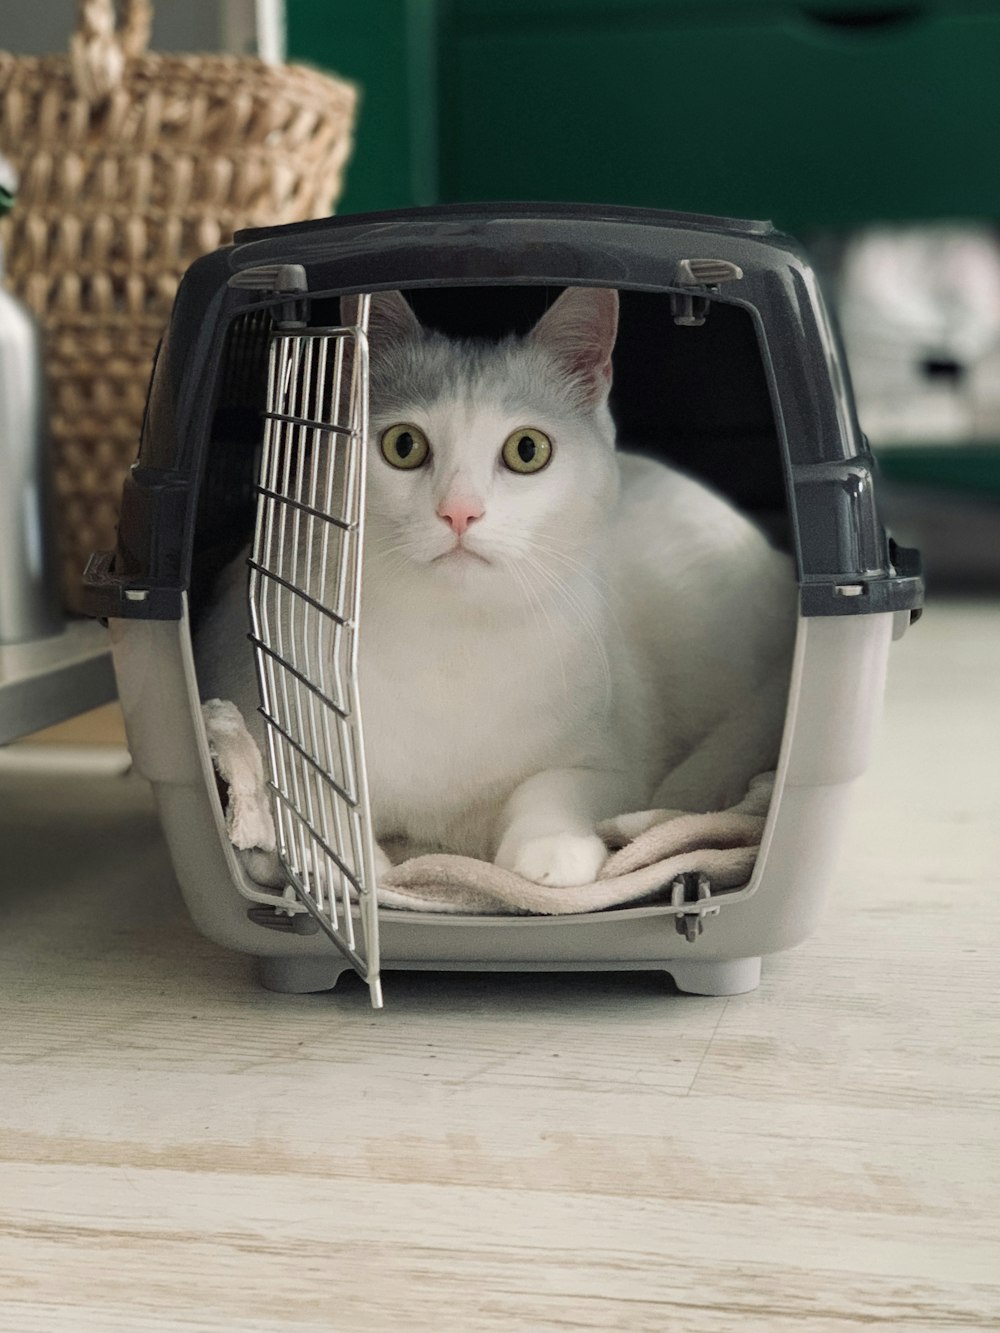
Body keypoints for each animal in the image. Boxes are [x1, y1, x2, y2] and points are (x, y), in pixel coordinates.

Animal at [197, 283, 800, 885]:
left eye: (527, 450)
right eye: (403, 445)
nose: (460, 512)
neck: (450, 638)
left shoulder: (616, 763)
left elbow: (551, 786)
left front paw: (552, 849)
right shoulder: (251, 708)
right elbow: (301, 785)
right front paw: (344, 863)